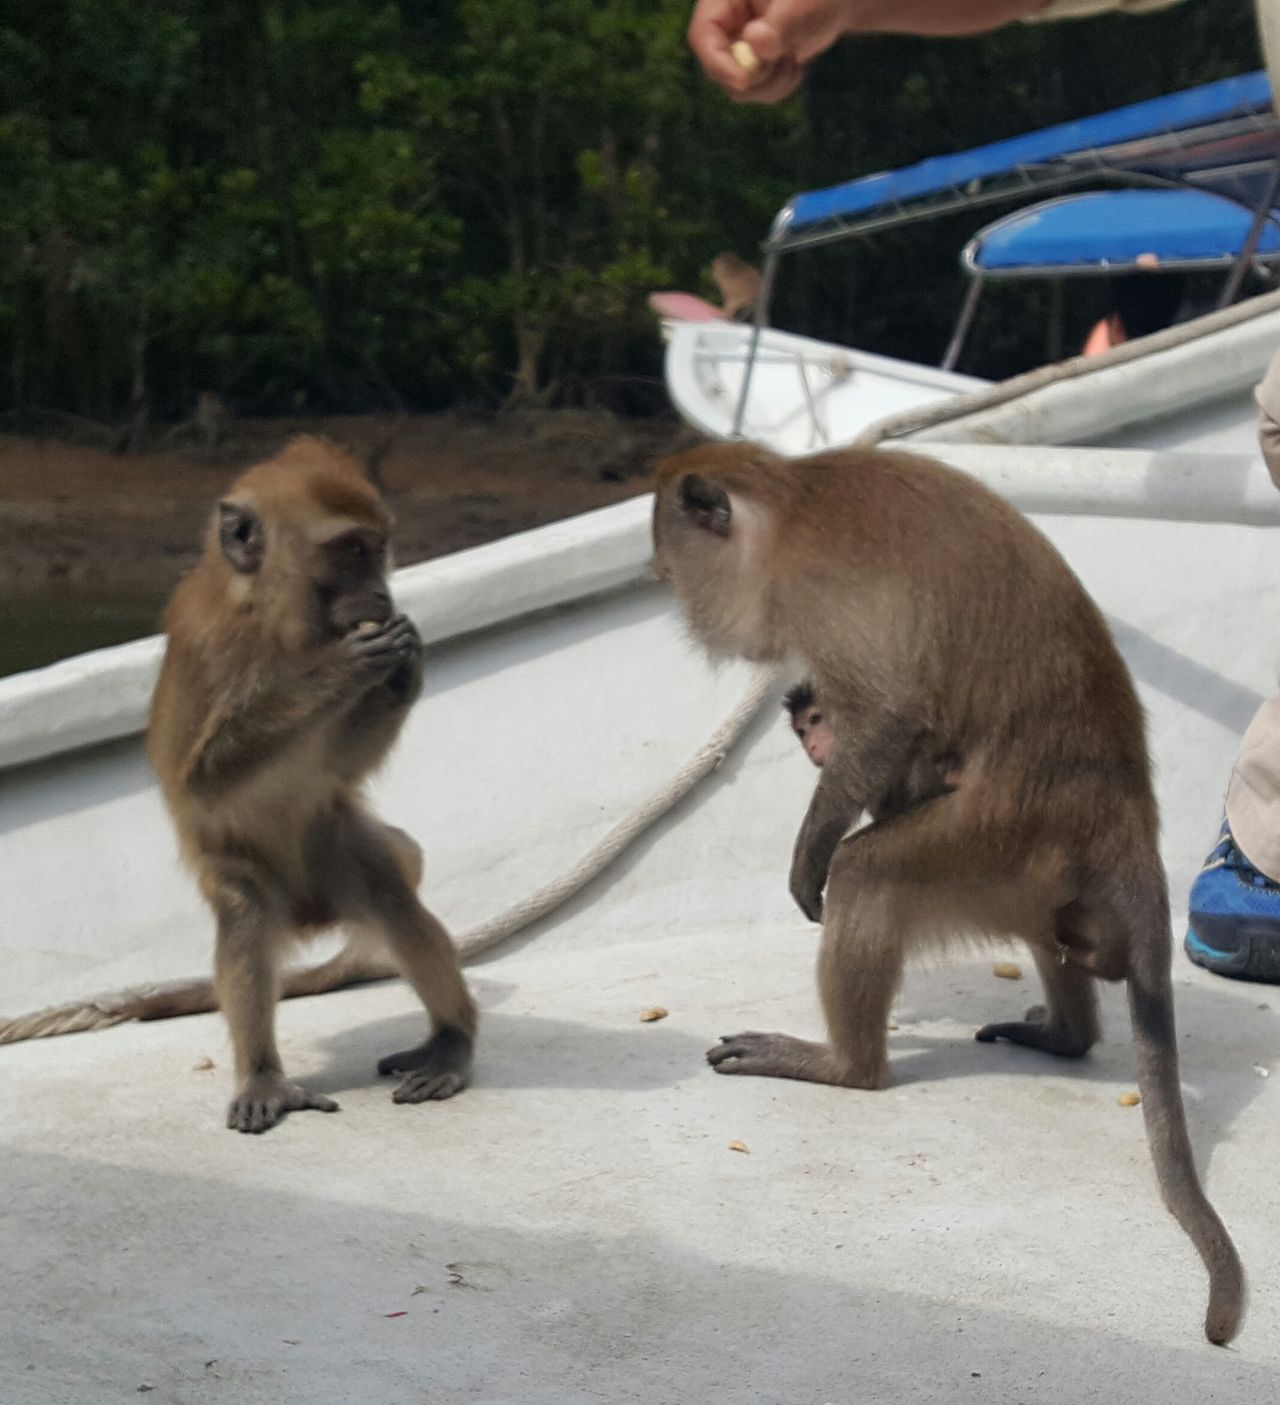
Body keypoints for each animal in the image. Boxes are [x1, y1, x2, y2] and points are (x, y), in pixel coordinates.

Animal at [146, 435, 474, 1129]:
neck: (275, 621)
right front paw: (346, 666)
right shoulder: (209, 642)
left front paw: (405, 657)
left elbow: (336, 770)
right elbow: (202, 783)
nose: (380, 593)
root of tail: (308, 913)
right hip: (250, 872)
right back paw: (264, 1076)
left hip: (334, 850)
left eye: (378, 548)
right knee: (245, 916)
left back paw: (451, 1041)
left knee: (389, 896)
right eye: (351, 551)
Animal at [651, 438, 1242, 1337]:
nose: (678, 602)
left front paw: (812, 849)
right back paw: (1065, 1035)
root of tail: (1127, 819)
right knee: (1045, 929)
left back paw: (845, 1064)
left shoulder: (818, 590)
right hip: (1032, 873)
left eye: (675, 567)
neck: (791, 499)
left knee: (869, 871)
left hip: (988, 840)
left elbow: (891, 716)